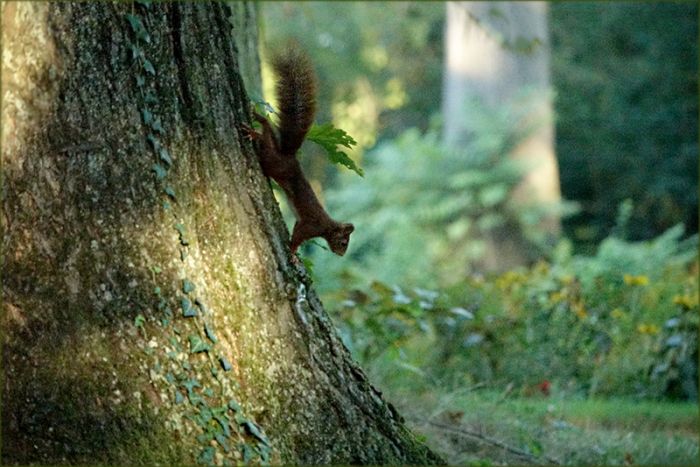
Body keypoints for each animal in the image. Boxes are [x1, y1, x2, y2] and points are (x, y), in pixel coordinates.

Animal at [245, 46, 354, 257]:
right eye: (343, 242)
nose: (341, 254)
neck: (327, 227)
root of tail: (288, 155)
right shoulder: (311, 226)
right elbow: (299, 236)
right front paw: (294, 251)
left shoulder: (301, 222)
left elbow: (295, 228)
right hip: (275, 164)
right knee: (265, 153)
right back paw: (254, 135)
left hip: (273, 148)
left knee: (267, 129)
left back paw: (256, 120)